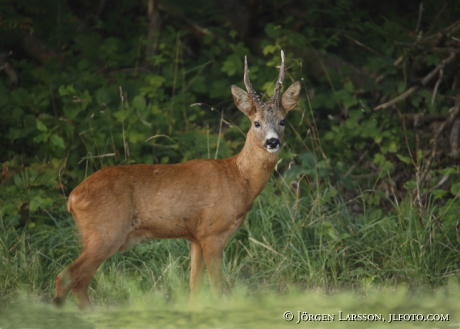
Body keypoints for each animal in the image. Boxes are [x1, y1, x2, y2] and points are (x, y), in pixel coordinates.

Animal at [53, 50, 302, 308]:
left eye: (283, 121)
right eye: (256, 123)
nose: (272, 141)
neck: (238, 178)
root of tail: (72, 198)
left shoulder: (196, 237)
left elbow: (194, 286)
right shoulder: (212, 232)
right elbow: (217, 287)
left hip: (98, 235)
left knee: (79, 282)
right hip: (106, 231)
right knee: (66, 277)